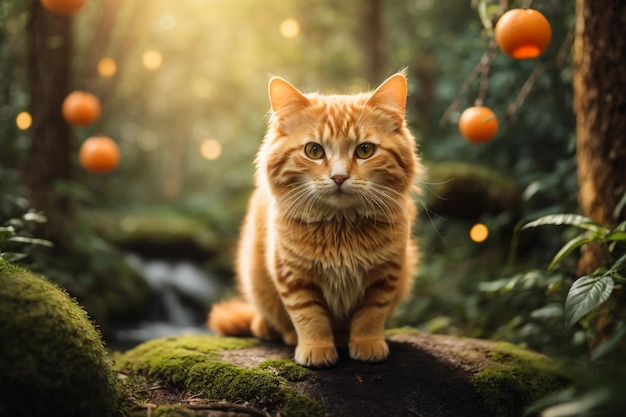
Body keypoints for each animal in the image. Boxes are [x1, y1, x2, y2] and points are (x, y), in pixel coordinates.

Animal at [207, 71, 422, 368]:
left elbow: (371, 315)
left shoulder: (386, 275)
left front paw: (366, 344)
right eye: (314, 151)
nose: (339, 177)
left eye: (365, 150)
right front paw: (316, 350)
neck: (341, 228)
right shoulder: (293, 276)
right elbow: (310, 317)